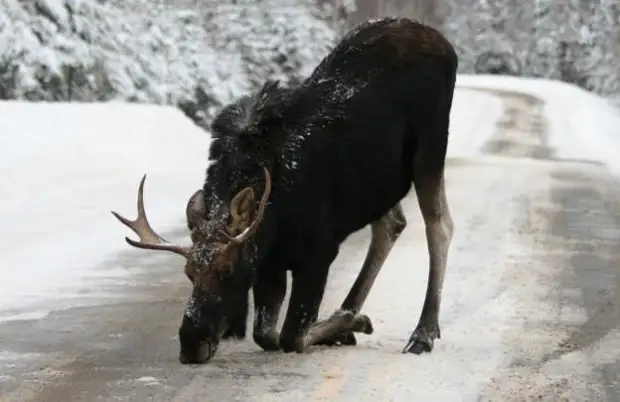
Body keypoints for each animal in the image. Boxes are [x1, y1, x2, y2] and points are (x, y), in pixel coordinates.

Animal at [114, 18, 458, 364]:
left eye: (226, 271)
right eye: (188, 272)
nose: (190, 344)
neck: (274, 217)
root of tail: (446, 46)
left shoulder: (319, 253)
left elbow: (292, 336)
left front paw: (351, 321)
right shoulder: (271, 265)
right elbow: (265, 334)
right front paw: (347, 322)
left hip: (429, 150)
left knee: (439, 226)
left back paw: (422, 332)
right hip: (379, 183)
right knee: (391, 225)